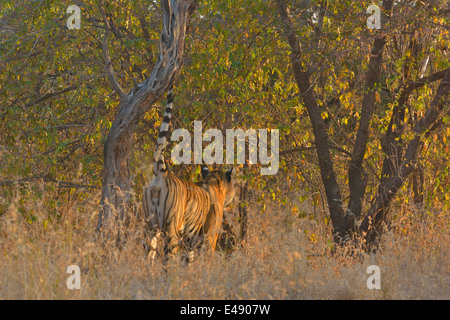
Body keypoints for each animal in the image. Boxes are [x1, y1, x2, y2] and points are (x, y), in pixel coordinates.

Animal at [142, 85, 237, 262]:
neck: (213, 181)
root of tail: (161, 173)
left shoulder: (190, 244)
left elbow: (188, 261)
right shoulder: (209, 239)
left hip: (149, 229)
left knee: (148, 256)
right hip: (171, 231)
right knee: (167, 260)